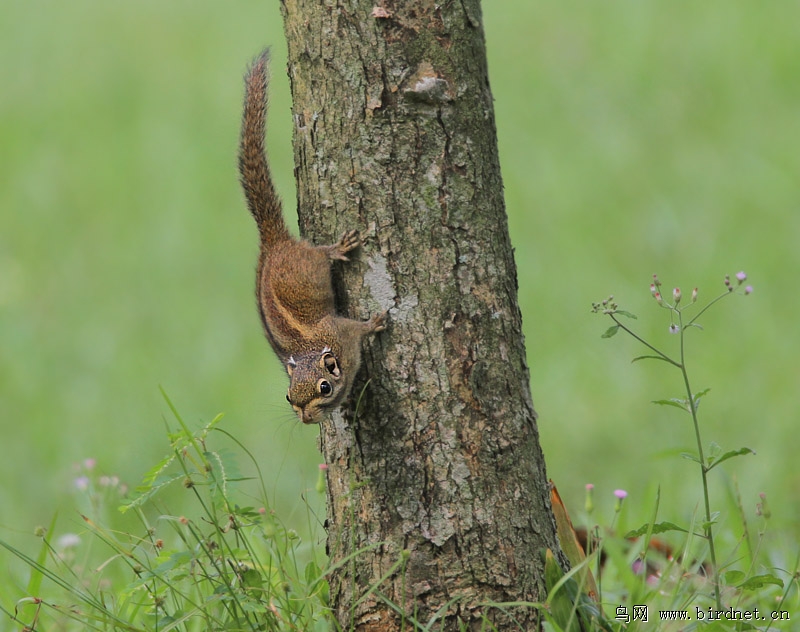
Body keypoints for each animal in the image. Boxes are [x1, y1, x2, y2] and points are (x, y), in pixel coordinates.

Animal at [238, 49, 388, 424]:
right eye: (289, 396)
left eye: (325, 387)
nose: (305, 418)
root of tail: (274, 243)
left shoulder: (343, 333)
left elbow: (359, 329)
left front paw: (374, 322)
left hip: (309, 260)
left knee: (322, 254)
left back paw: (338, 248)